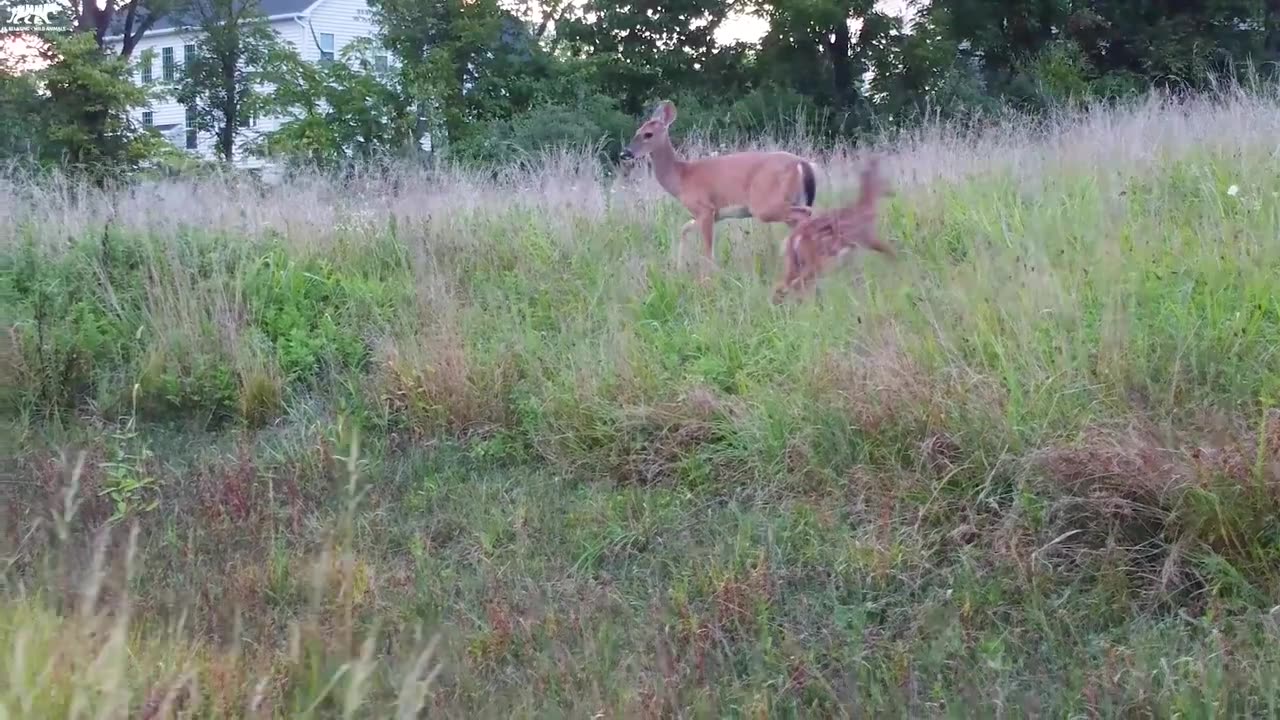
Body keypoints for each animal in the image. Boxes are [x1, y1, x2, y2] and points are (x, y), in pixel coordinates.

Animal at [619, 99, 819, 278]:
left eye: (648, 134)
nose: (624, 153)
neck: (682, 177)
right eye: (637, 131)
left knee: (807, 214)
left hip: (765, 204)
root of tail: (802, 164)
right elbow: (684, 229)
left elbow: (707, 250)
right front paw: (680, 268)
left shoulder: (705, 209)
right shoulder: (709, 214)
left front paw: (708, 279)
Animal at [768, 155, 901, 301]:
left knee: (782, 284)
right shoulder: (867, 237)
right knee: (800, 283)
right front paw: (900, 267)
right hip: (814, 260)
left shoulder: (854, 249)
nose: (893, 192)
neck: (865, 208)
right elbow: (890, 251)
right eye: (885, 180)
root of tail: (793, 239)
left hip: (793, 261)